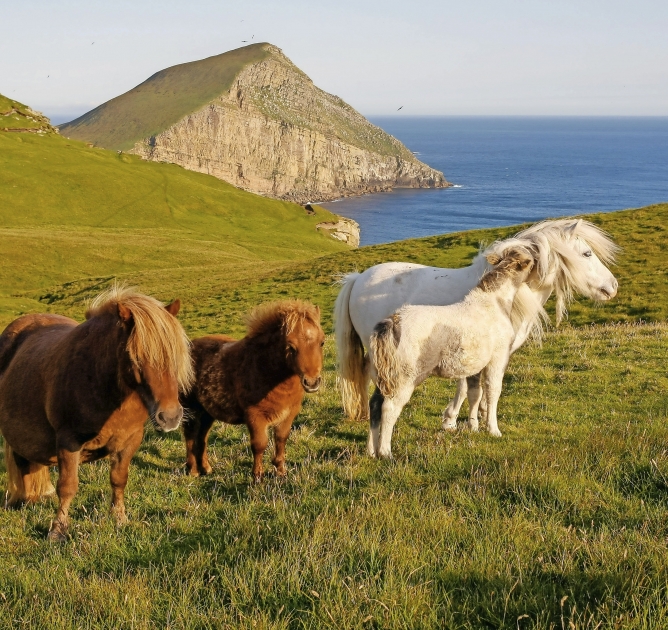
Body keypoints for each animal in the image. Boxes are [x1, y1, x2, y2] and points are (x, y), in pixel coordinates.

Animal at [0, 288, 193, 544]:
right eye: (135, 357)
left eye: (174, 355)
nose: (170, 417)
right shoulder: (68, 442)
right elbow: (68, 486)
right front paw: (58, 529)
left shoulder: (129, 441)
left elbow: (119, 480)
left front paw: (119, 519)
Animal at [183, 304, 324, 482]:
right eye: (291, 346)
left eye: (322, 342)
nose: (312, 382)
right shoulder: (255, 417)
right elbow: (259, 444)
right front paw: (257, 477)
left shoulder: (288, 415)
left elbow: (281, 439)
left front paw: (280, 471)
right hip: (191, 409)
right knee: (190, 435)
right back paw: (193, 470)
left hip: (207, 412)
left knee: (202, 437)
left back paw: (206, 468)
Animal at [334, 217, 620, 430]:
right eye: (586, 253)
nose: (613, 286)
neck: (504, 292)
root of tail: (358, 279)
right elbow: (473, 387)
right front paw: (457, 421)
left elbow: (474, 388)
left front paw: (472, 419)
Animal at [370, 247, 544, 460]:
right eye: (531, 260)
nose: (540, 268)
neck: (494, 303)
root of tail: (392, 321)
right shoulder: (498, 357)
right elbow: (493, 391)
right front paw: (493, 430)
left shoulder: (476, 364)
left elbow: (474, 393)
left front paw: (473, 427)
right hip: (405, 376)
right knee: (389, 408)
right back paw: (385, 452)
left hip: (383, 374)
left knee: (374, 404)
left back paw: (371, 450)